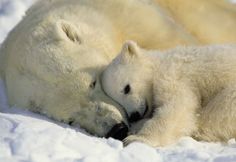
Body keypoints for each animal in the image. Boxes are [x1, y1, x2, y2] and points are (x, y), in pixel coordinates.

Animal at [102, 40, 236, 147]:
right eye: (119, 103)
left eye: (126, 88)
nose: (134, 115)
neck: (158, 64)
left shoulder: (172, 75)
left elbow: (176, 107)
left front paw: (135, 139)